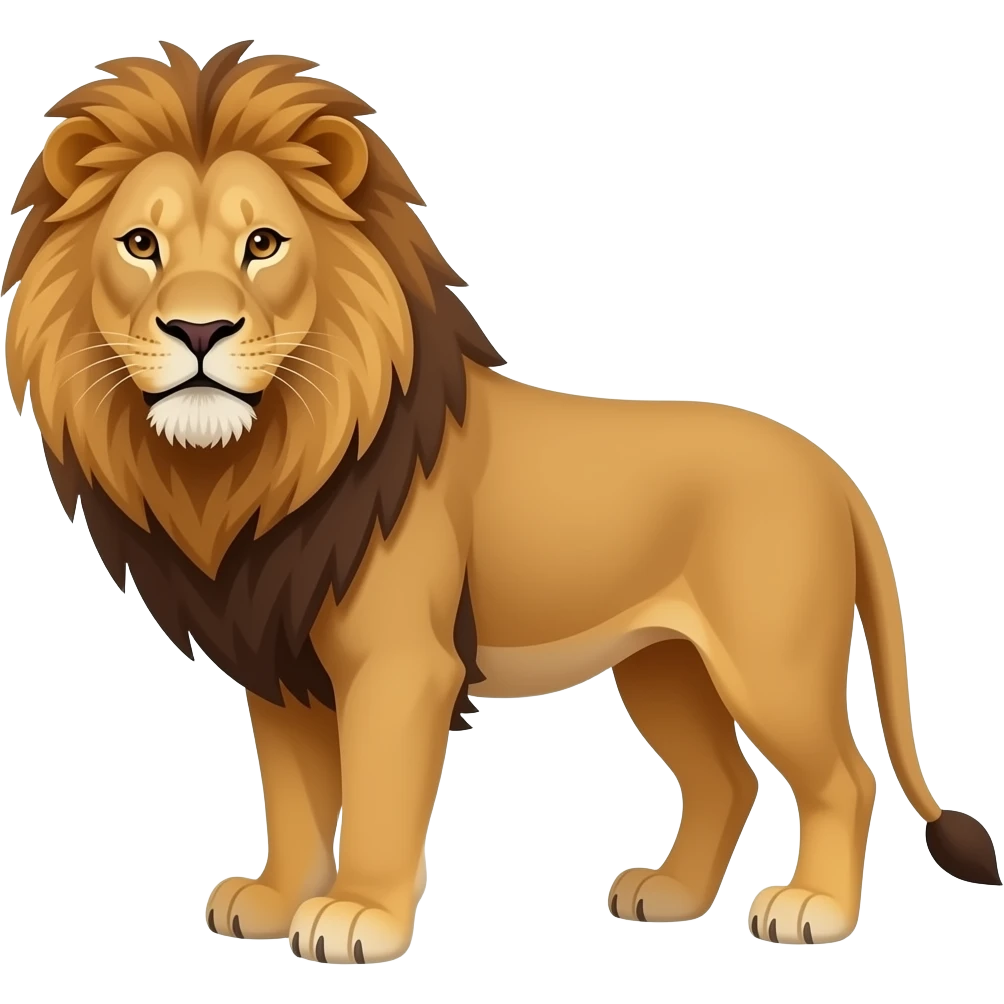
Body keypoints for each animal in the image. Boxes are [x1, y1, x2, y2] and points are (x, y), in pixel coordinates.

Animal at [5, 40, 999, 965]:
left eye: (264, 244)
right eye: (141, 244)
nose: (200, 329)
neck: (250, 466)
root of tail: (833, 472)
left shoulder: (401, 663)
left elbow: (378, 797)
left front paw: (358, 918)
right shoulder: (278, 662)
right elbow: (293, 798)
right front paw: (277, 899)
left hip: (771, 663)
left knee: (843, 778)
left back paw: (812, 910)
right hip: (665, 664)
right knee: (728, 779)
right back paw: (670, 895)